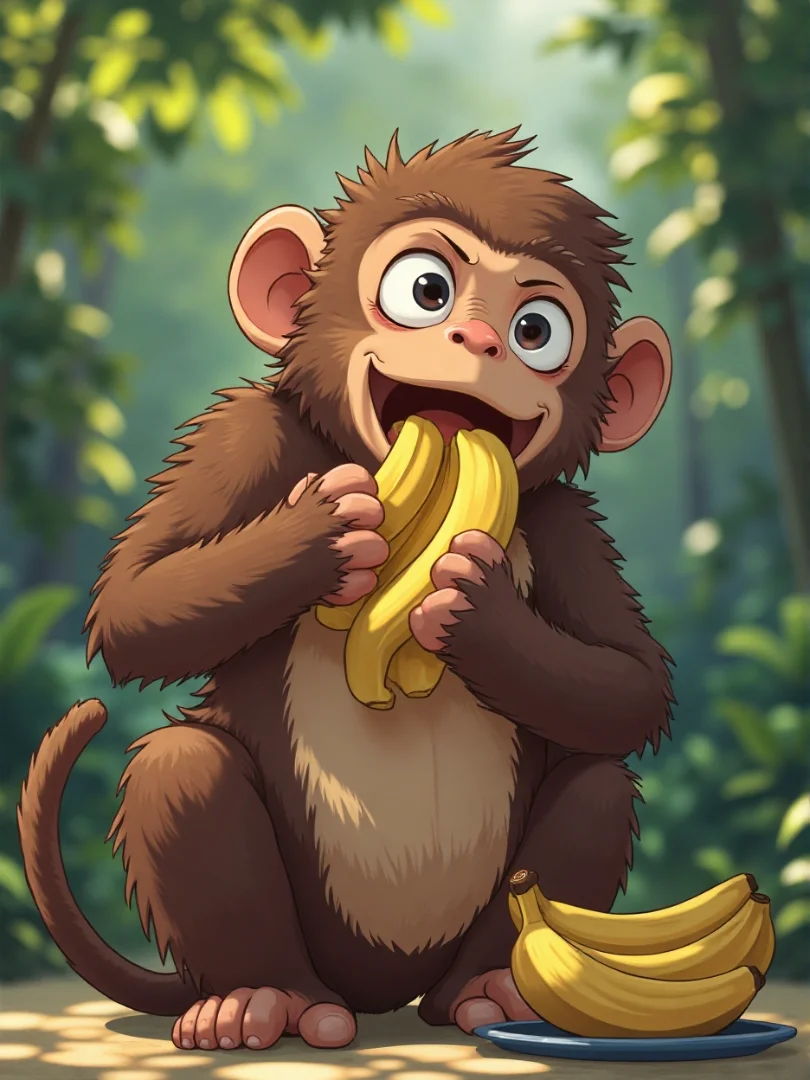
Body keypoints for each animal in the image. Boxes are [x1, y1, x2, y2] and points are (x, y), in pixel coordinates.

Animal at [18, 128, 675, 1053]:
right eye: (425, 290)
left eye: (537, 330)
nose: (481, 338)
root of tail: (379, 995)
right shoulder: (243, 435)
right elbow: (134, 604)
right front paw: (326, 531)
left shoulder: (566, 522)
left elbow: (629, 684)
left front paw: (476, 610)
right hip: (299, 932)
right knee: (182, 769)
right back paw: (260, 1000)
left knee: (599, 785)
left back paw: (491, 992)